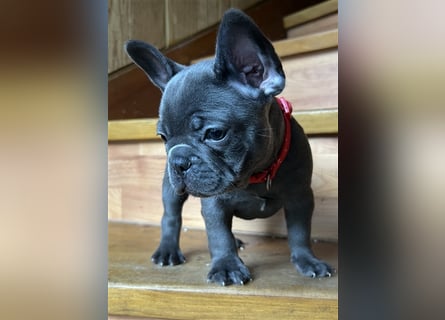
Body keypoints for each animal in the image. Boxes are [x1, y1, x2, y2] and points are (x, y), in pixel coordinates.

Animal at [123, 8, 332, 286]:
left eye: (215, 134)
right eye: (162, 137)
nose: (178, 160)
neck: (256, 174)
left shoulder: (300, 197)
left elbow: (300, 232)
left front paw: (308, 261)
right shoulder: (214, 204)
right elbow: (218, 235)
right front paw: (226, 266)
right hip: (170, 190)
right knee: (171, 217)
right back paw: (168, 250)